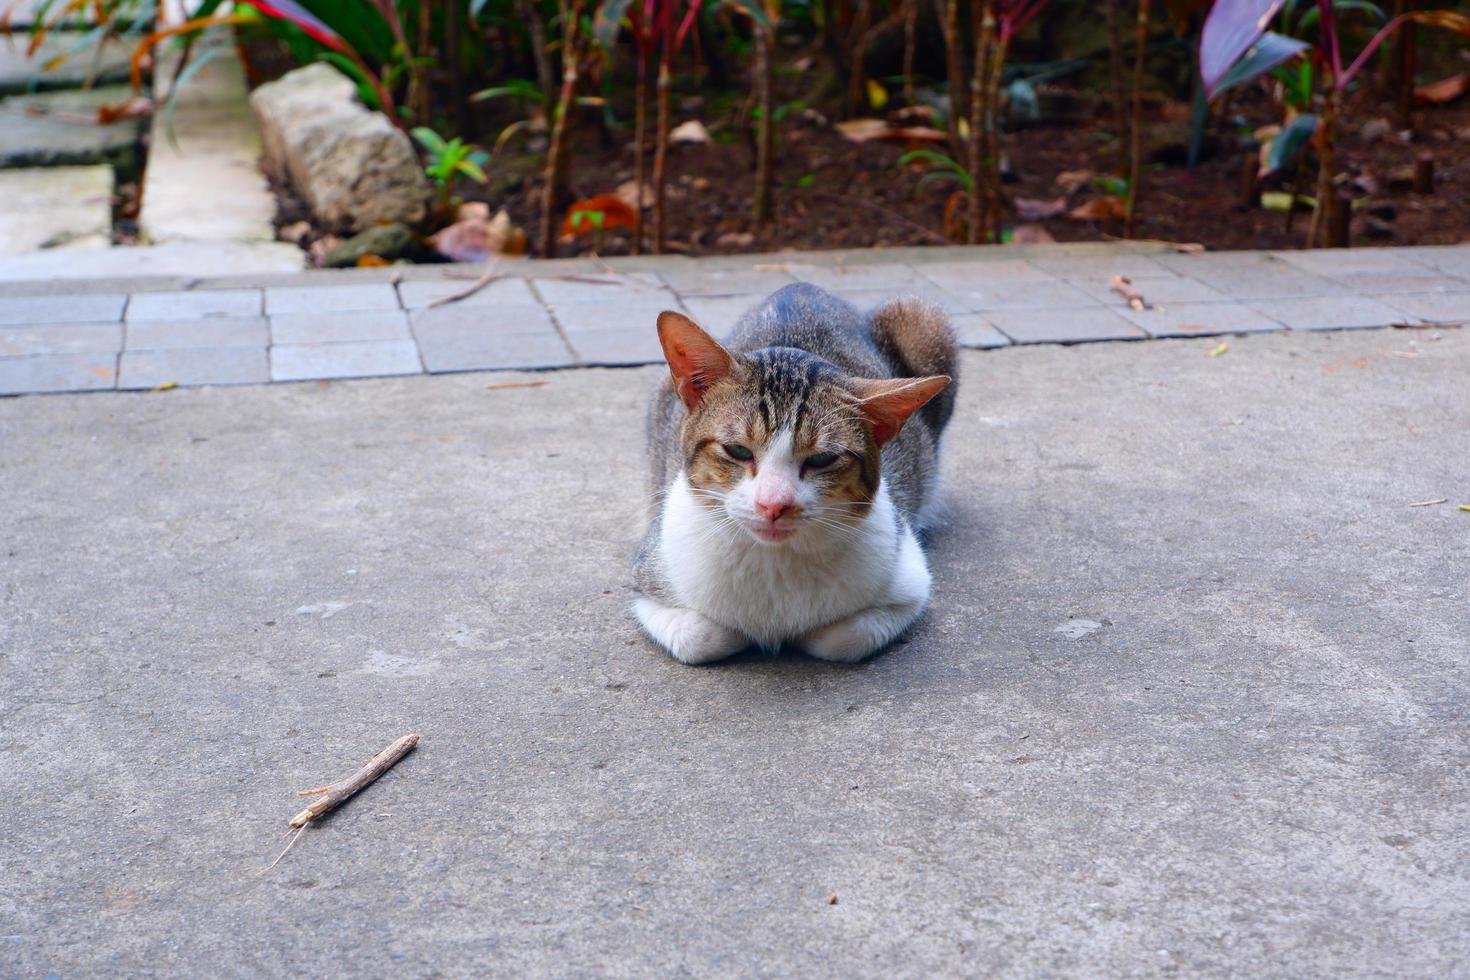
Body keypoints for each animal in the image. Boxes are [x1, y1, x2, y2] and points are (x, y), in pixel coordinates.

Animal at [629, 283, 952, 667]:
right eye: (738, 450)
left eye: (823, 459)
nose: (773, 504)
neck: (773, 563)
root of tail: (801, 288)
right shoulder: (647, 573)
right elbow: (700, 636)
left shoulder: (909, 578)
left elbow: (844, 640)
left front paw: (801, 635)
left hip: (924, 322)